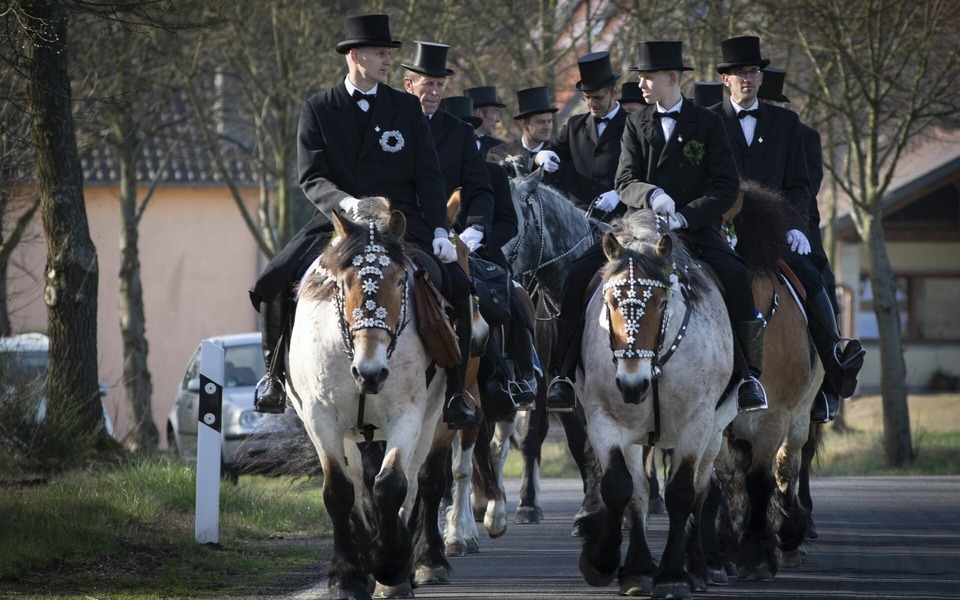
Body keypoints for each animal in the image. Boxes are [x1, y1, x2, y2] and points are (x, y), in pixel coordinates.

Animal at [575, 210, 739, 598]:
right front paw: (613, 566)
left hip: (715, 431)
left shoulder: (697, 423)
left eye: (662, 303)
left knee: (702, 489)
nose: (631, 385)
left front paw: (673, 576)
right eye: (611, 302)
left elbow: (681, 493)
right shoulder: (604, 419)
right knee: (641, 490)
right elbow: (620, 487)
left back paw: (698, 568)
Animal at [711, 180, 825, 580]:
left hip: (801, 414)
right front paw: (725, 550)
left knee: (788, 464)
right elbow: (725, 477)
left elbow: (762, 479)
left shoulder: (773, 418)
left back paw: (789, 536)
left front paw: (758, 554)